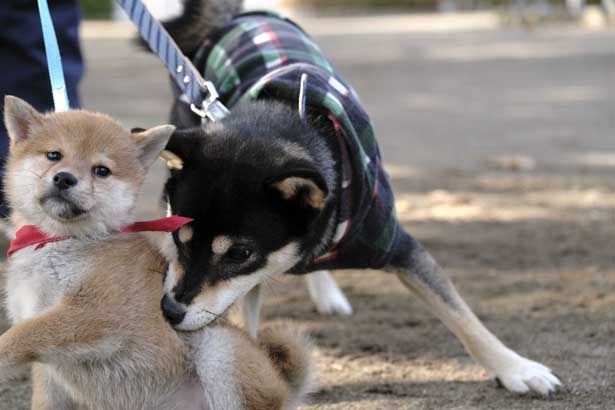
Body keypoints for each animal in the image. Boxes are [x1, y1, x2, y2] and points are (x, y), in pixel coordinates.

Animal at [1, 97, 312, 410]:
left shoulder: (97, 310)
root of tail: (284, 385)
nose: (64, 178)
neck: (59, 242)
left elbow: (17, 336)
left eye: (101, 170)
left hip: (217, 350)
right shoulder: (48, 369)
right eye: (53, 155)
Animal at [158, 0, 564, 398]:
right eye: (180, 239)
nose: (169, 311)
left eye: (240, 253)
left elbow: (460, 314)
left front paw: (516, 368)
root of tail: (231, 15)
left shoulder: (398, 245)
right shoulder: (244, 280)